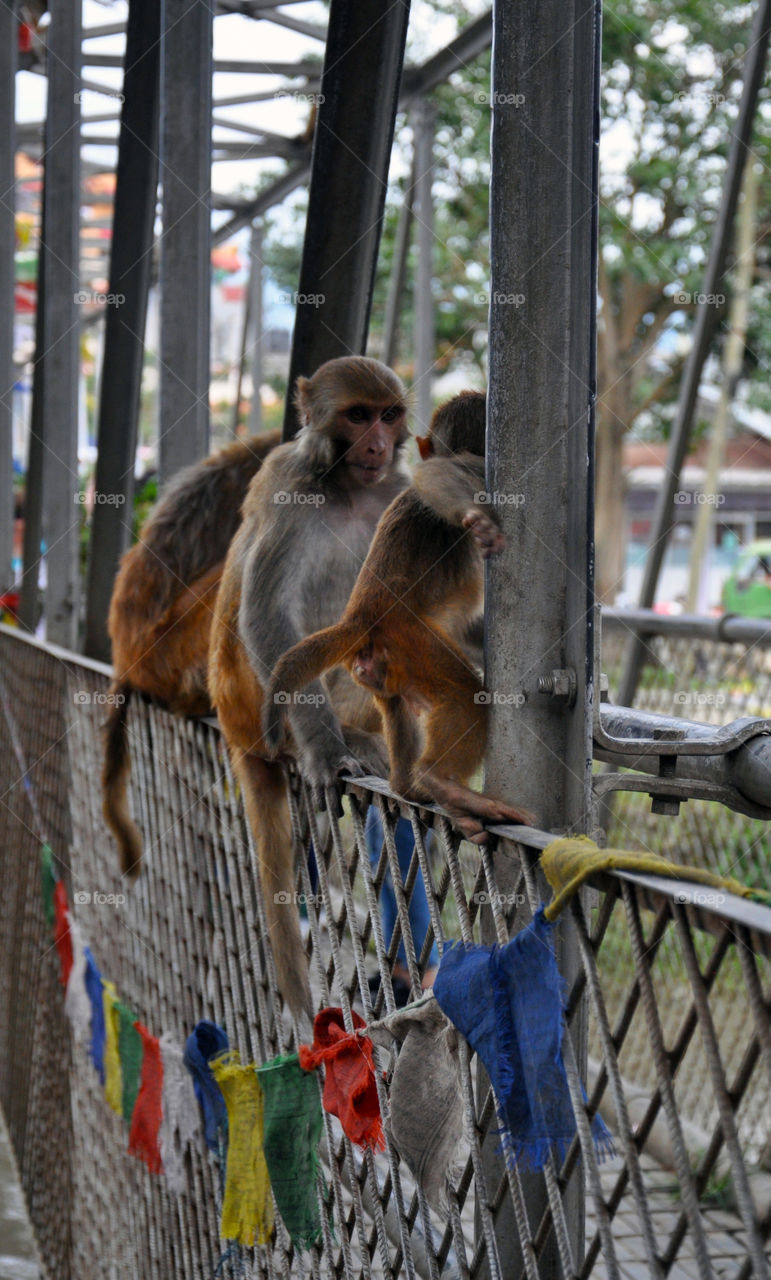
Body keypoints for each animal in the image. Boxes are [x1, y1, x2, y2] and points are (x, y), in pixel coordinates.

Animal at [203, 358, 407, 1018]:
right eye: (357, 415)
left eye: (388, 415)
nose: (377, 445)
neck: (345, 488)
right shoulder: (291, 487)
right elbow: (268, 614)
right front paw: (323, 751)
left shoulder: (395, 493)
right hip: (250, 698)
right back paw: (322, 740)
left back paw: (360, 735)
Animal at [261, 389, 530, 849]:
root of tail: (360, 615)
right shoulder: (474, 468)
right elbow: (440, 475)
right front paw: (477, 520)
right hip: (407, 637)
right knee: (466, 694)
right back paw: (438, 780)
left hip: (382, 662)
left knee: (398, 707)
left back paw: (410, 786)